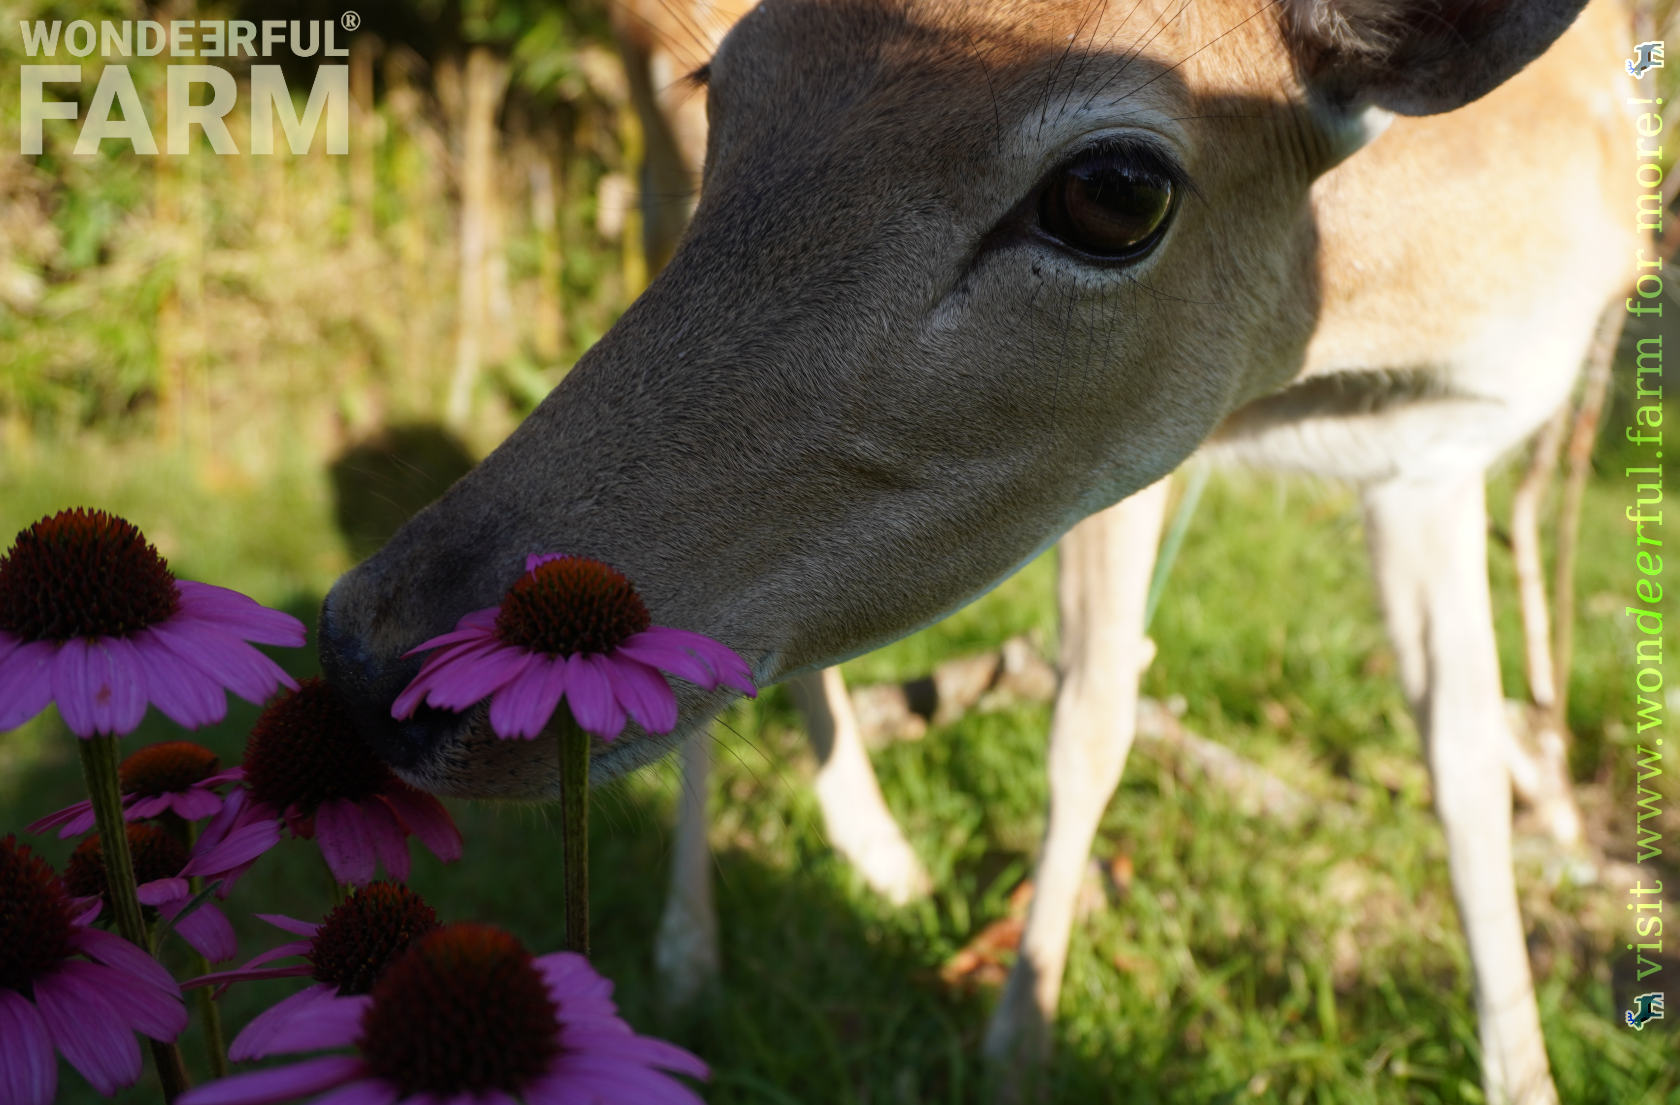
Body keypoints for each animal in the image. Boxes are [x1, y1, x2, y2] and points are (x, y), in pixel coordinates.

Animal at [317, 4, 1639, 1094]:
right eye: (725, 83)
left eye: (1115, 191)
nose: (364, 653)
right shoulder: (1118, 469)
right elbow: (1092, 713)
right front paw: (1020, 1036)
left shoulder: (1432, 460)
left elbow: (1461, 755)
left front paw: (1523, 1069)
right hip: (646, 181)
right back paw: (711, 940)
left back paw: (870, 858)